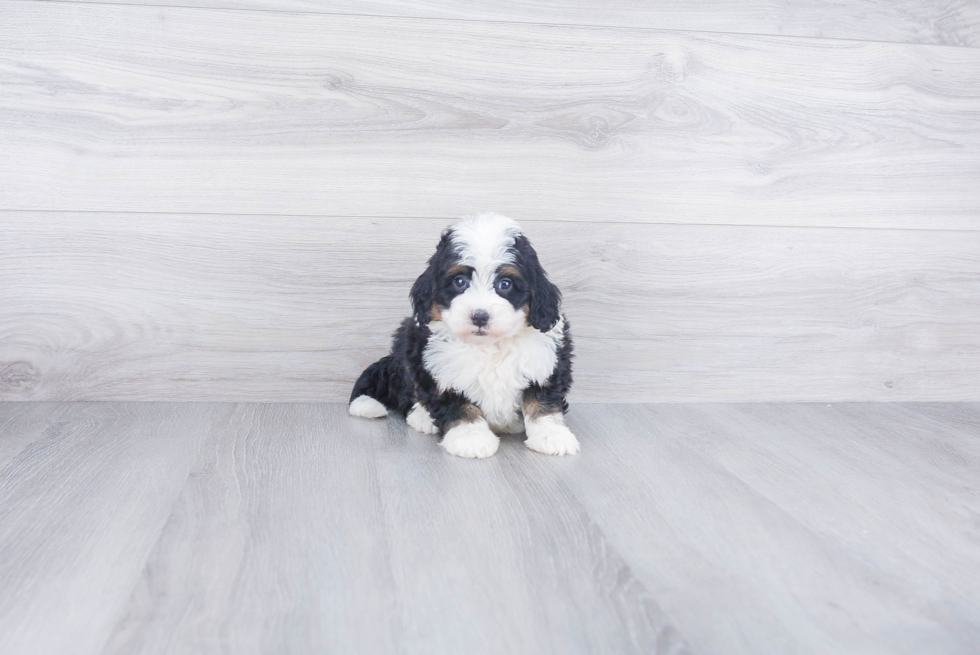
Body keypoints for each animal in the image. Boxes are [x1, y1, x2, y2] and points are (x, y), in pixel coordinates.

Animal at [348, 213, 580, 458]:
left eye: (505, 284)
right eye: (460, 282)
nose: (479, 316)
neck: (489, 346)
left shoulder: (546, 362)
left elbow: (543, 401)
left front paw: (551, 434)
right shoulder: (438, 368)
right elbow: (456, 404)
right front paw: (470, 436)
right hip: (407, 344)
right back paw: (421, 417)